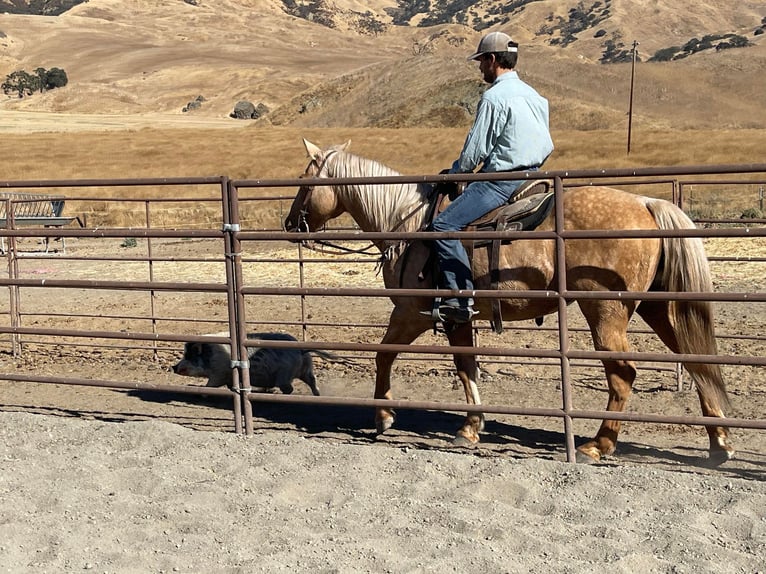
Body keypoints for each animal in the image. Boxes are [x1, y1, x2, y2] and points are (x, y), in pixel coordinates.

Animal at [174, 332, 336, 396]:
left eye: (189, 356)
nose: (173, 367)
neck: (210, 356)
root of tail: (301, 350)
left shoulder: (219, 374)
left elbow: (210, 386)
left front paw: (202, 394)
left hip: (284, 375)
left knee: (289, 388)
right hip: (305, 370)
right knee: (313, 381)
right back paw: (318, 395)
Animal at [284, 141, 736, 468]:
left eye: (305, 181)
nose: (290, 223)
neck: (409, 225)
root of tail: (645, 203)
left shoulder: (413, 311)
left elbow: (384, 353)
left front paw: (383, 416)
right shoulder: (457, 317)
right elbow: (465, 365)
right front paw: (470, 427)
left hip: (605, 312)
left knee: (624, 373)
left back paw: (598, 444)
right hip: (659, 308)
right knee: (697, 361)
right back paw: (719, 443)